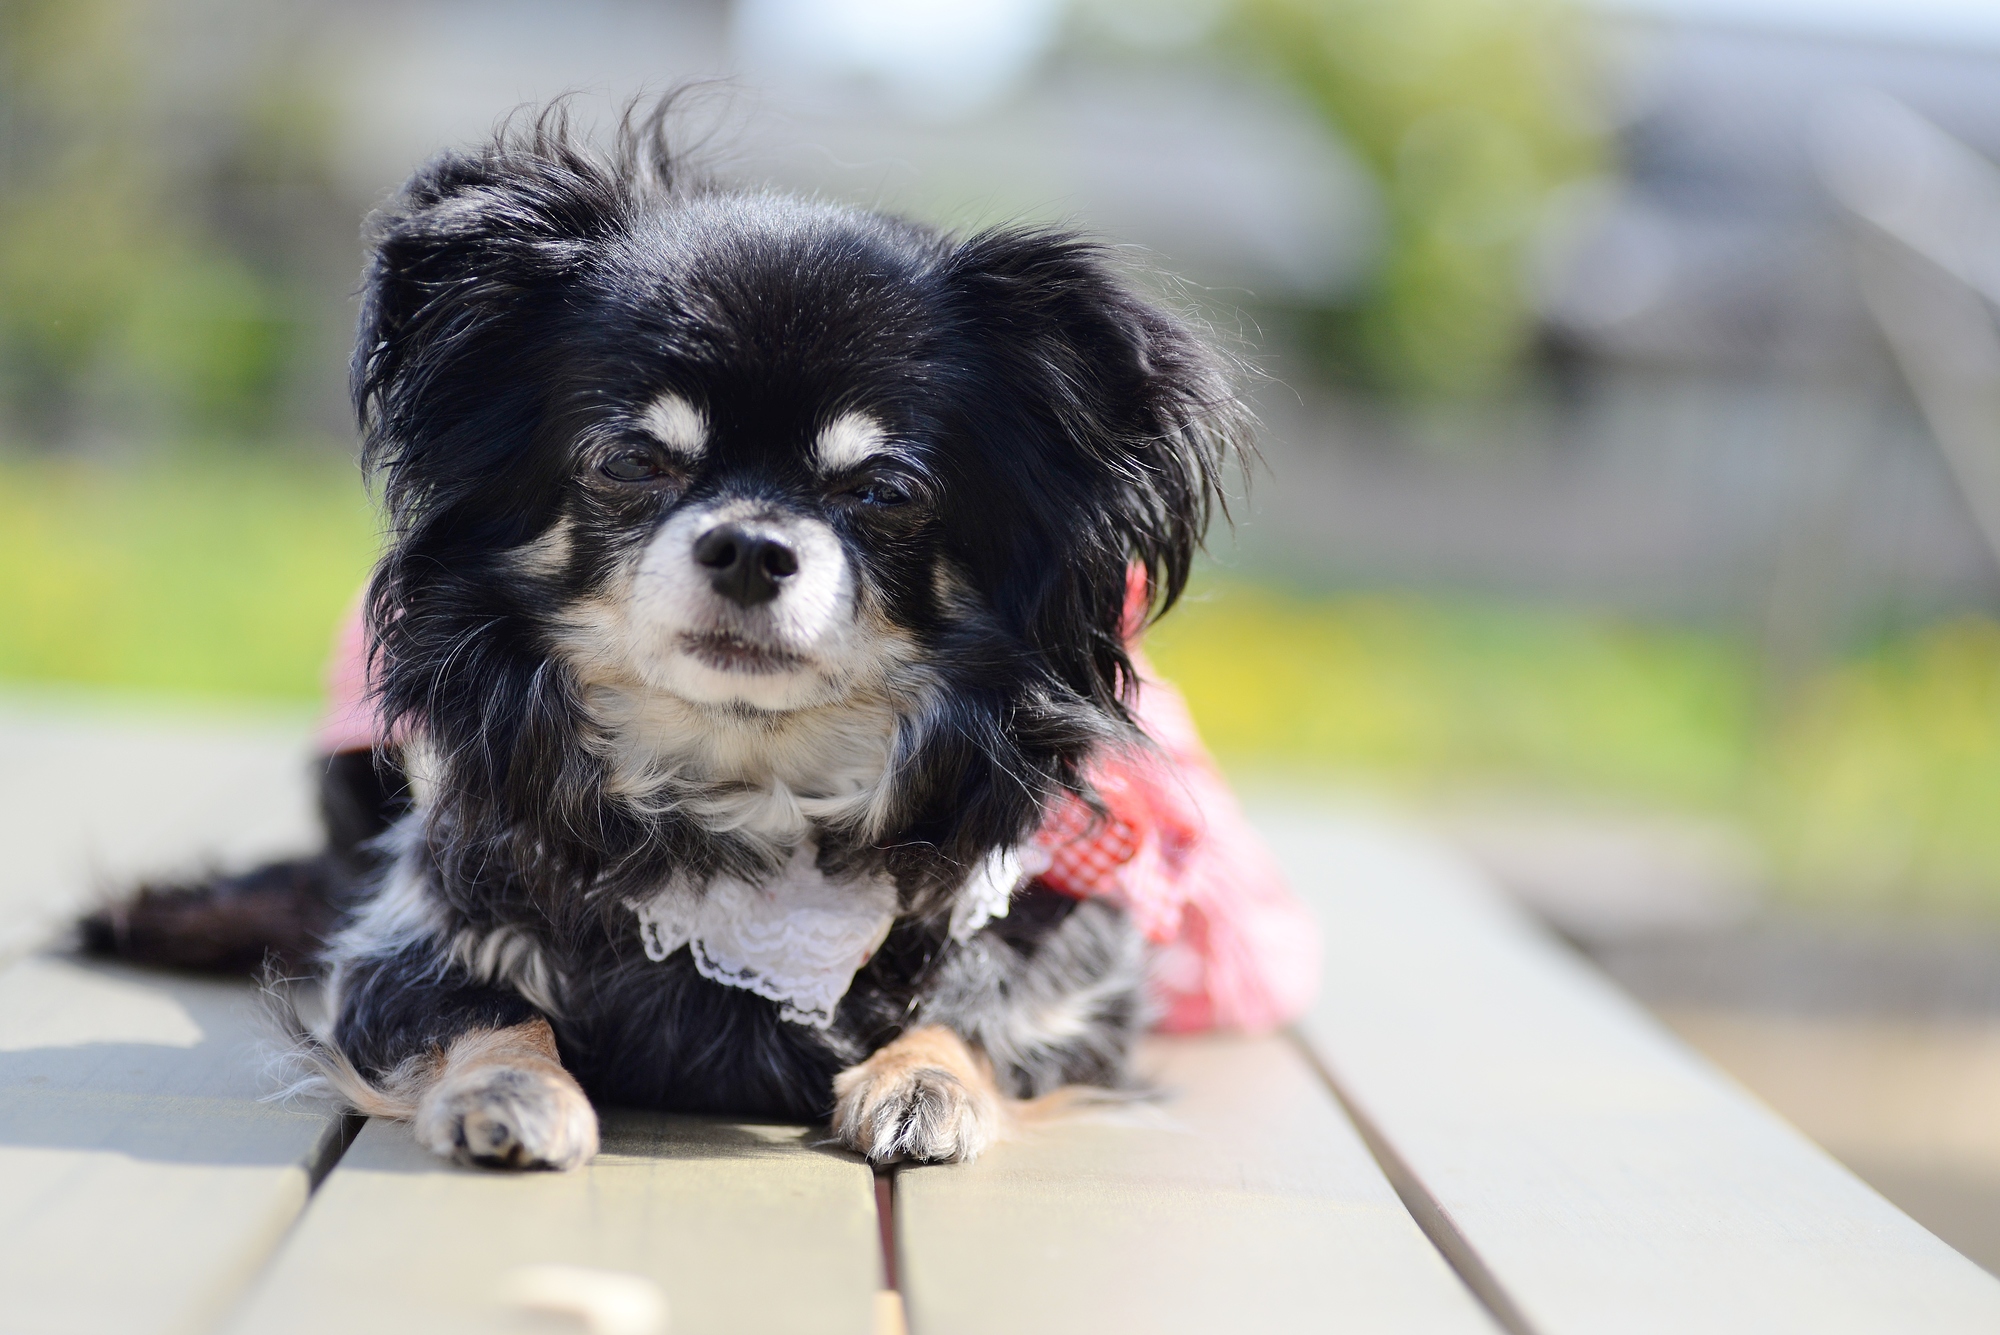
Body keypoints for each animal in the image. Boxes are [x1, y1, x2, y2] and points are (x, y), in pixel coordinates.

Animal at [94, 104, 1256, 1167]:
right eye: (630, 461)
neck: (746, 784)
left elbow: (980, 1013)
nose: (750, 545)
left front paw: (925, 1078)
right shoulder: (409, 928)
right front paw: (512, 1089)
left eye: (884, 491)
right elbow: (478, 1008)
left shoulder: (1073, 959)